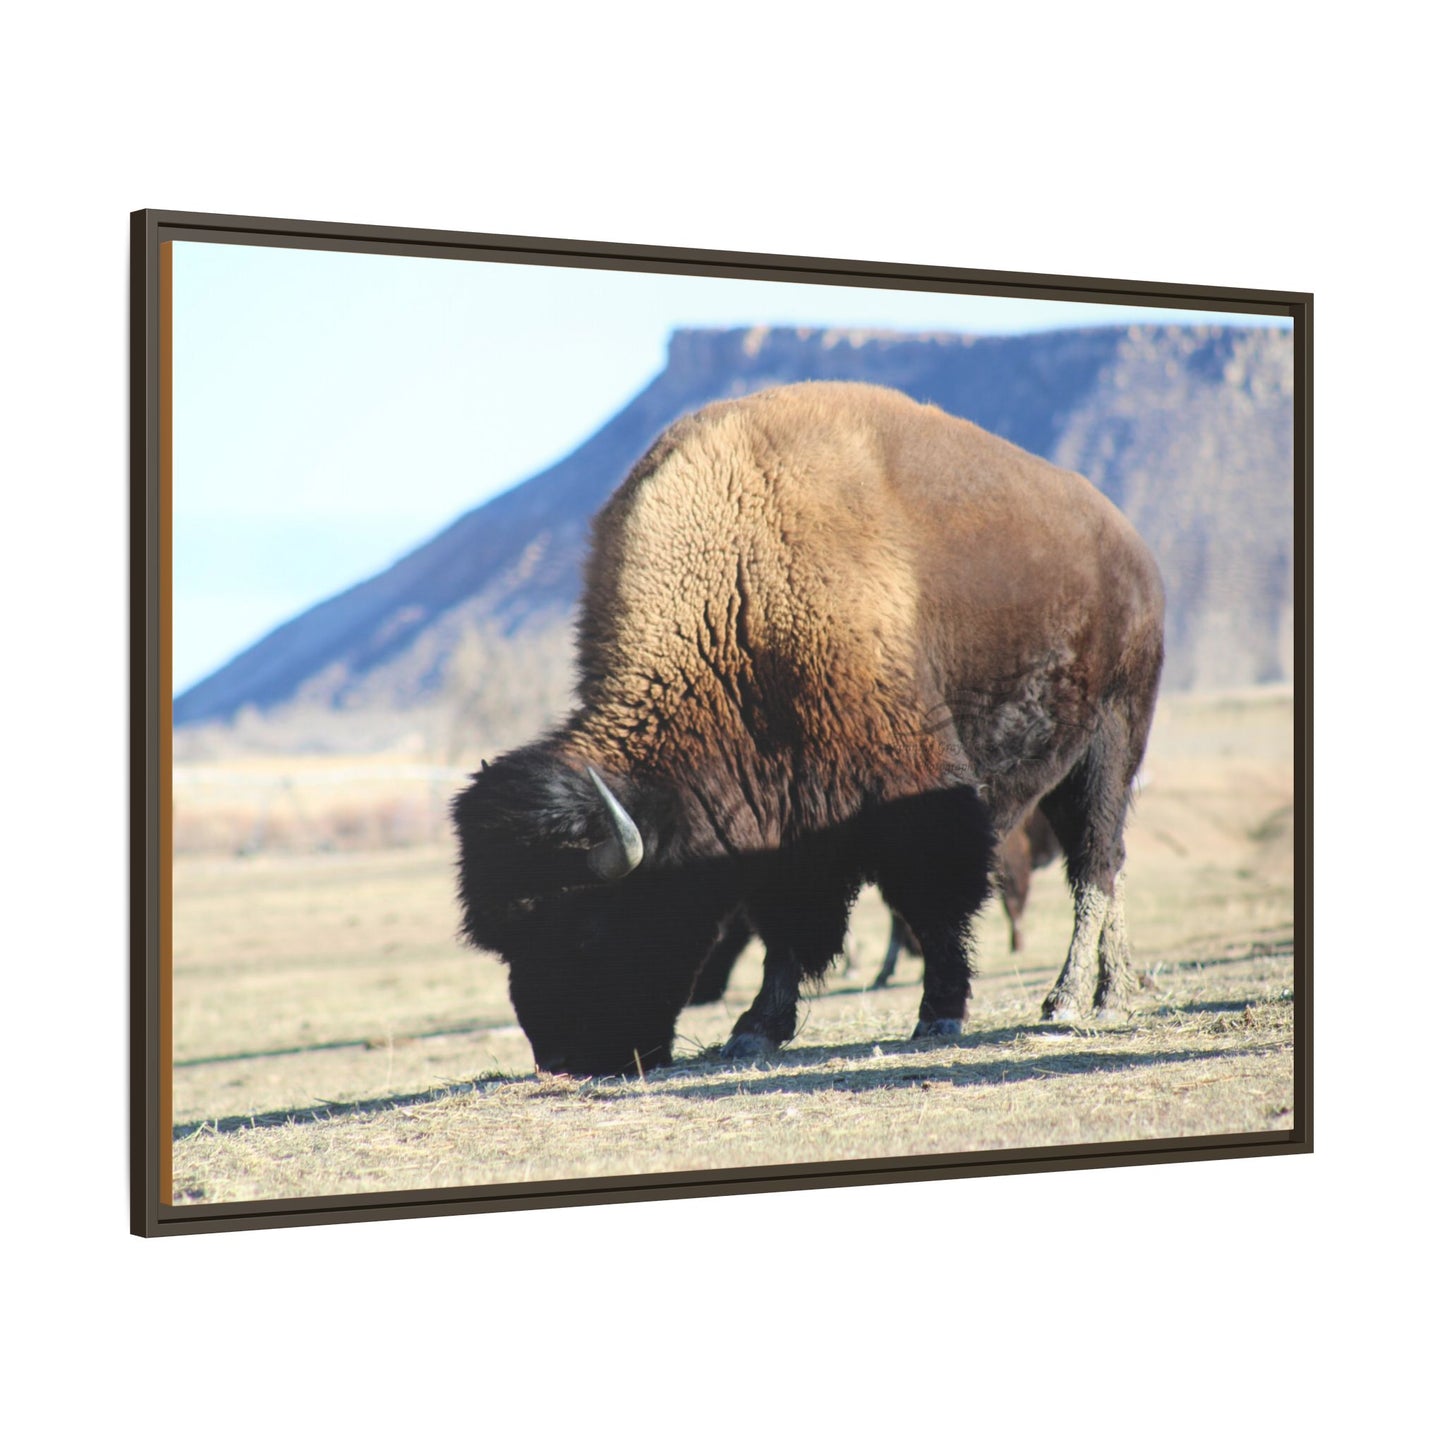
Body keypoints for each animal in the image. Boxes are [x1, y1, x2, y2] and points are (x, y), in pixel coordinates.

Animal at [453, 381, 1164, 1076]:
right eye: (505, 941)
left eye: (588, 926)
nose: (563, 1061)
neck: (737, 598)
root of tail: (1131, 549)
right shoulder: (783, 819)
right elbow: (786, 928)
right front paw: (755, 1030)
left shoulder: (913, 791)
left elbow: (932, 902)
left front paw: (939, 1014)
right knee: (1109, 865)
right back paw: (1112, 990)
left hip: (1109, 745)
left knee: (1095, 866)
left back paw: (1074, 999)